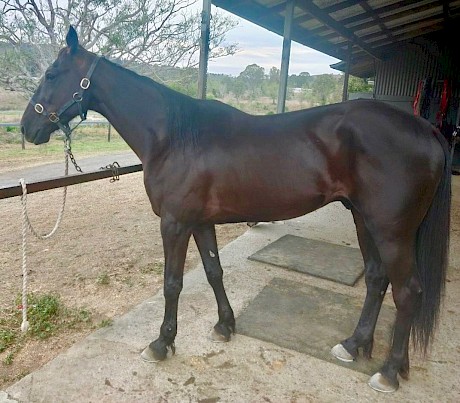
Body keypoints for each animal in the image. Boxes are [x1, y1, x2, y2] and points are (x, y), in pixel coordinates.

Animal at [20, 26, 450, 392]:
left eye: (52, 74)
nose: (27, 128)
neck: (175, 136)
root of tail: (426, 130)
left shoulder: (174, 224)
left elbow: (172, 284)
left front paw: (161, 343)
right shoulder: (200, 223)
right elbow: (214, 272)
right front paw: (225, 325)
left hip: (392, 231)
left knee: (408, 292)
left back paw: (389, 372)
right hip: (364, 220)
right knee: (377, 280)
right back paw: (354, 345)